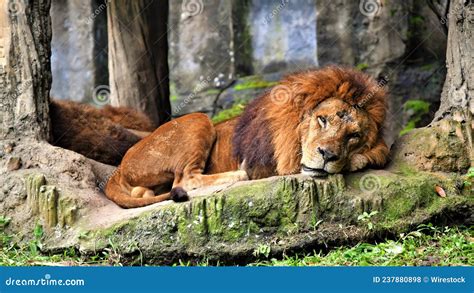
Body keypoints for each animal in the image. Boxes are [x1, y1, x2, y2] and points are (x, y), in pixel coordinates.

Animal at [104, 66, 388, 208]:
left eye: (353, 135)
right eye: (322, 119)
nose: (328, 155)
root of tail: (119, 167)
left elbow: (376, 152)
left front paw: (359, 158)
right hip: (199, 119)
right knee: (185, 179)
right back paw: (238, 175)